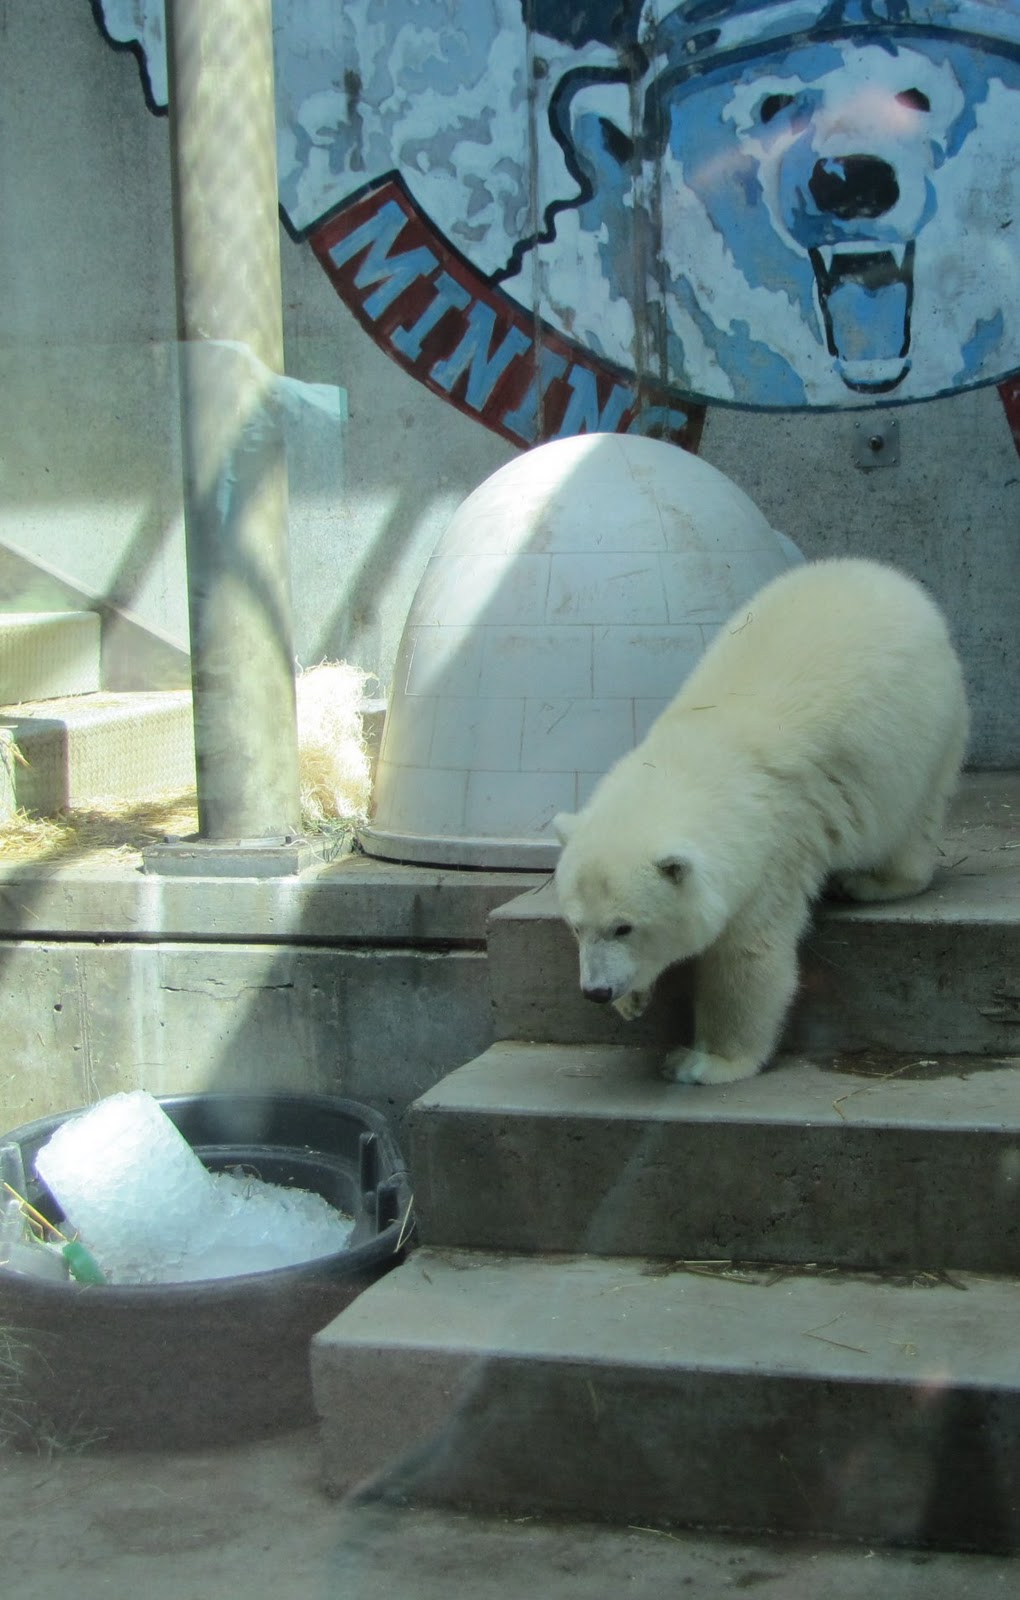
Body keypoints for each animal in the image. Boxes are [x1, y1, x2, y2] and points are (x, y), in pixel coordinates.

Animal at [553, 557, 968, 1086]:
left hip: (925, 726)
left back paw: (870, 881)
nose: (596, 991)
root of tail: (891, 579)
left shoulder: (773, 848)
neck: (696, 754)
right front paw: (634, 999)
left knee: (911, 817)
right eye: (575, 927)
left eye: (624, 927)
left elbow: (747, 955)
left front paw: (702, 1062)